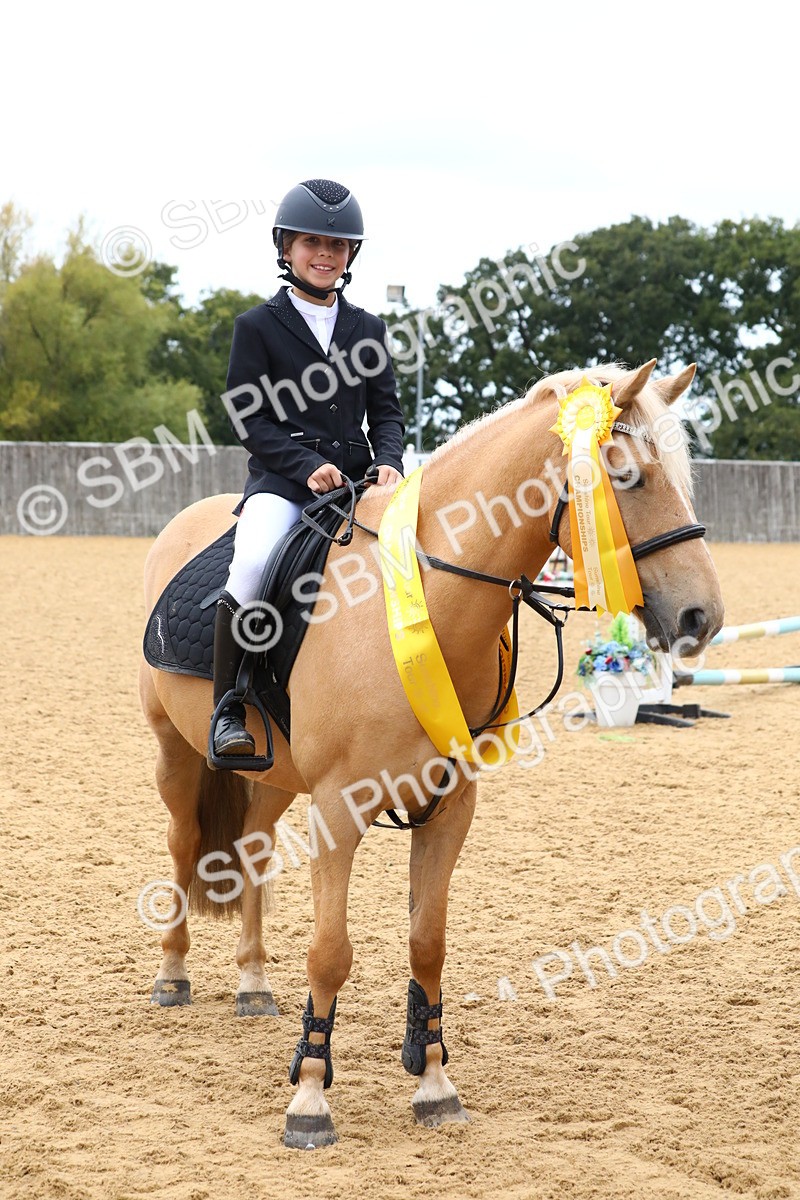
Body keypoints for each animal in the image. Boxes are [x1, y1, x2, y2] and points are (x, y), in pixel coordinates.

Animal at [138, 357, 724, 1148]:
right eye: (626, 477)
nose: (703, 617)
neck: (428, 605)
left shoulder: (450, 806)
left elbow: (428, 944)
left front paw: (435, 1085)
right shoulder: (338, 810)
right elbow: (332, 952)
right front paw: (311, 1097)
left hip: (274, 775)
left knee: (253, 847)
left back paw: (254, 982)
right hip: (175, 750)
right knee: (182, 843)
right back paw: (173, 974)